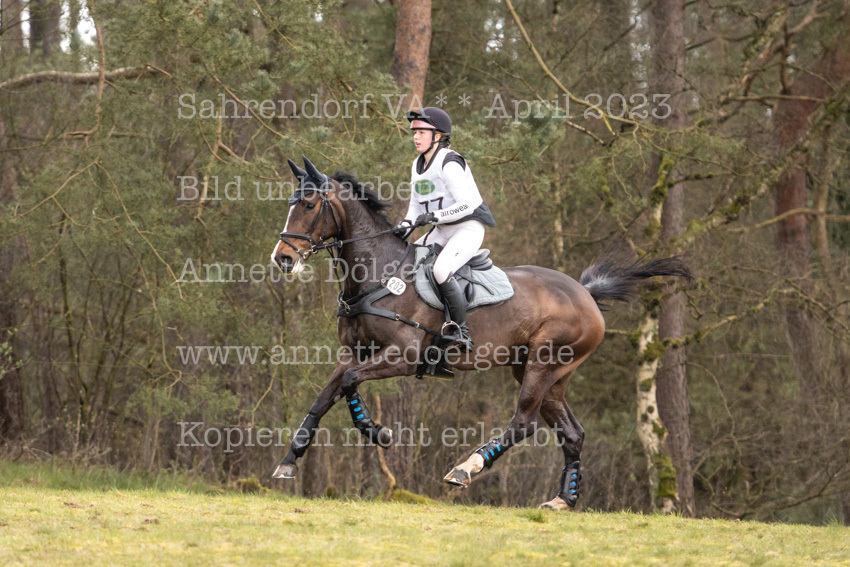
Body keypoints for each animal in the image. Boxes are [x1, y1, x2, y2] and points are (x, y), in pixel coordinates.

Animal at [270, 156, 692, 509]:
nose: (283, 258)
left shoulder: (402, 356)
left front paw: (378, 432)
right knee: (572, 433)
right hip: (547, 374)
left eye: (309, 206)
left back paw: (466, 468)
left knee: (523, 423)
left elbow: (350, 384)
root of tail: (586, 294)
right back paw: (562, 500)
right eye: (291, 204)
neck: (378, 274)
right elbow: (327, 395)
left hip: (543, 364)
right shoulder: (352, 353)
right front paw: (290, 460)